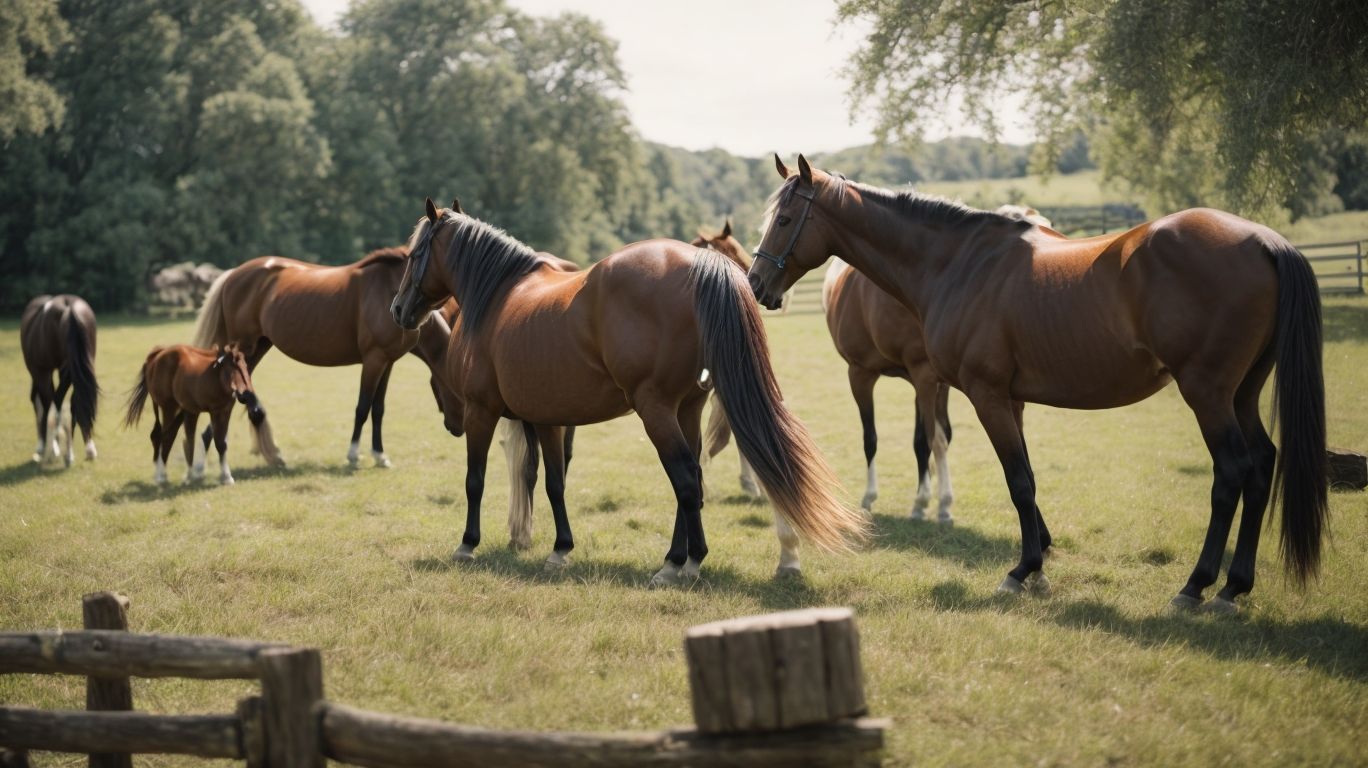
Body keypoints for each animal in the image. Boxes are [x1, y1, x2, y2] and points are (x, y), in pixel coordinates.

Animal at [20, 295, 99, 466]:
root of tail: (69, 309)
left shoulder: (41, 372)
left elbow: (46, 405)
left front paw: (48, 446)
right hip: (76, 369)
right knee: (76, 403)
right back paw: (83, 450)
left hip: (47, 372)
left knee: (52, 403)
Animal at [122, 343, 269, 486]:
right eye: (230, 368)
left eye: (245, 367)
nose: (245, 395)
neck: (216, 378)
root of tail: (156, 355)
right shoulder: (208, 411)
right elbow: (203, 442)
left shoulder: (222, 412)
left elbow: (219, 443)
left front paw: (224, 476)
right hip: (168, 407)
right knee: (165, 437)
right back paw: (162, 476)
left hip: (178, 410)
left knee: (164, 436)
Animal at [195, 247, 462, 468]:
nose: (458, 430)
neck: (393, 291)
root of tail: (232, 275)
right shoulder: (373, 360)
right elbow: (362, 407)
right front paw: (353, 455)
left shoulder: (388, 363)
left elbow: (378, 409)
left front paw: (380, 455)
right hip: (244, 349)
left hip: (259, 346)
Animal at [391, 198, 867, 585]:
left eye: (414, 254)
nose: (398, 310)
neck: (496, 296)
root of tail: (700, 267)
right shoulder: (547, 419)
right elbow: (555, 484)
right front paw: (560, 549)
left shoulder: (480, 411)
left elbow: (474, 480)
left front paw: (467, 543)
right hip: (686, 408)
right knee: (691, 476)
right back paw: (684, 558)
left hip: (655, 410)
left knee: (684, 477)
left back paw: (679, 564)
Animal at [749, 154, 1326, 612]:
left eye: (785, 218)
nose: (756, 284)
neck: (958, 262)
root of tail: (1265, 241)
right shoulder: (1013, 399)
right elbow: (1025, 475)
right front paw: (1041, 556)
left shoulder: (986, 396)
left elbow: (1018, 481)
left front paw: (1021, 571)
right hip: (1242, 393)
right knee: (1262, 467)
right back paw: (1233, 588)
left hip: (1207, 394)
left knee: (1232, 474)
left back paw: (1196, 585)